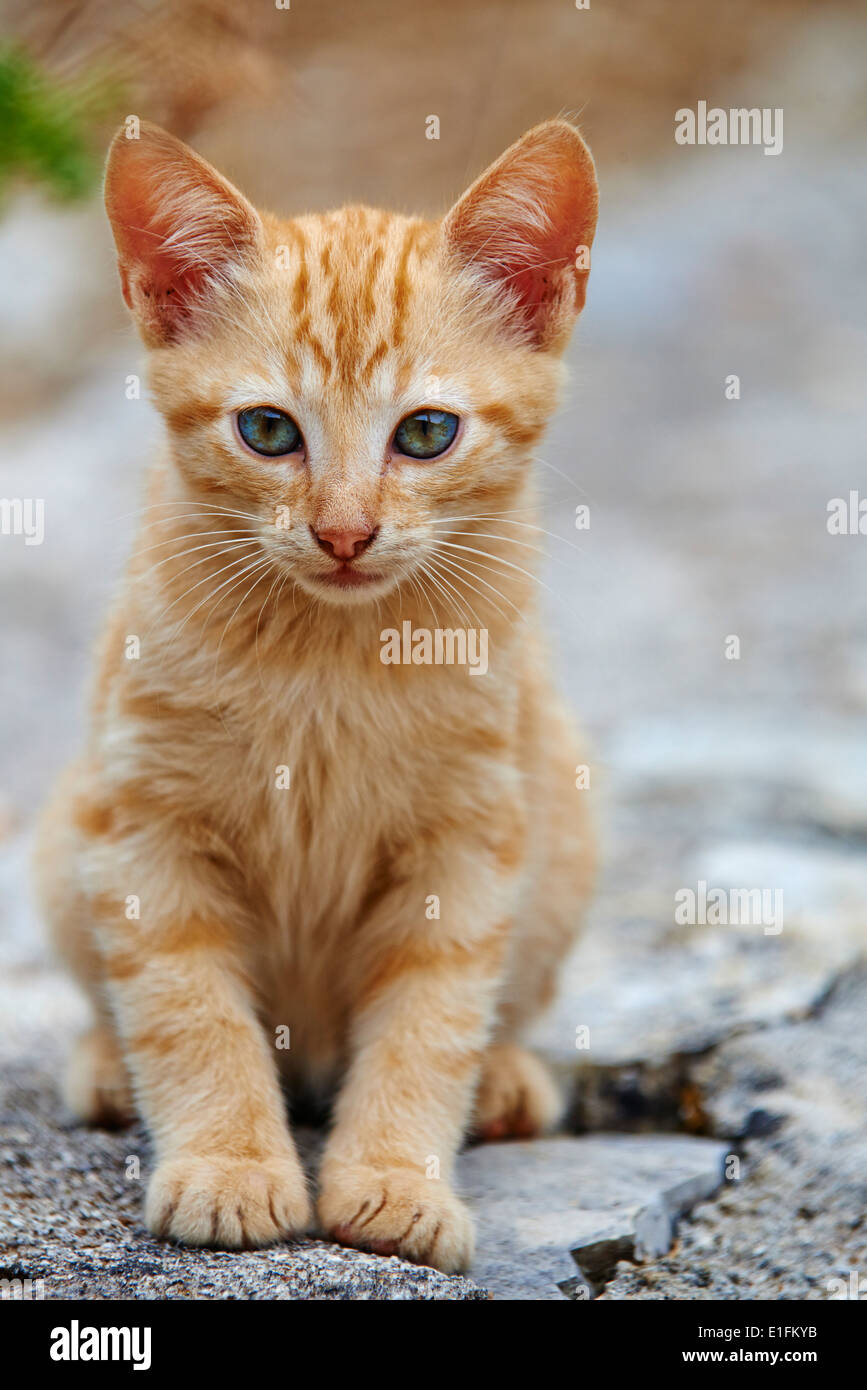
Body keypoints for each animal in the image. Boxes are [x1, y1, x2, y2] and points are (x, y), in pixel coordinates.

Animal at [37, 119, 600, 1273]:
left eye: (425, 434)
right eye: (267, 431)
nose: (344, 532)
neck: (327, 661)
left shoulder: (468, 842)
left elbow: (430, 1021)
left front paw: (395, 1181)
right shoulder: (143, 823)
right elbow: (187, 1007)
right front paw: (229, 1166)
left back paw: (506, 1081)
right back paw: (107, 1064)